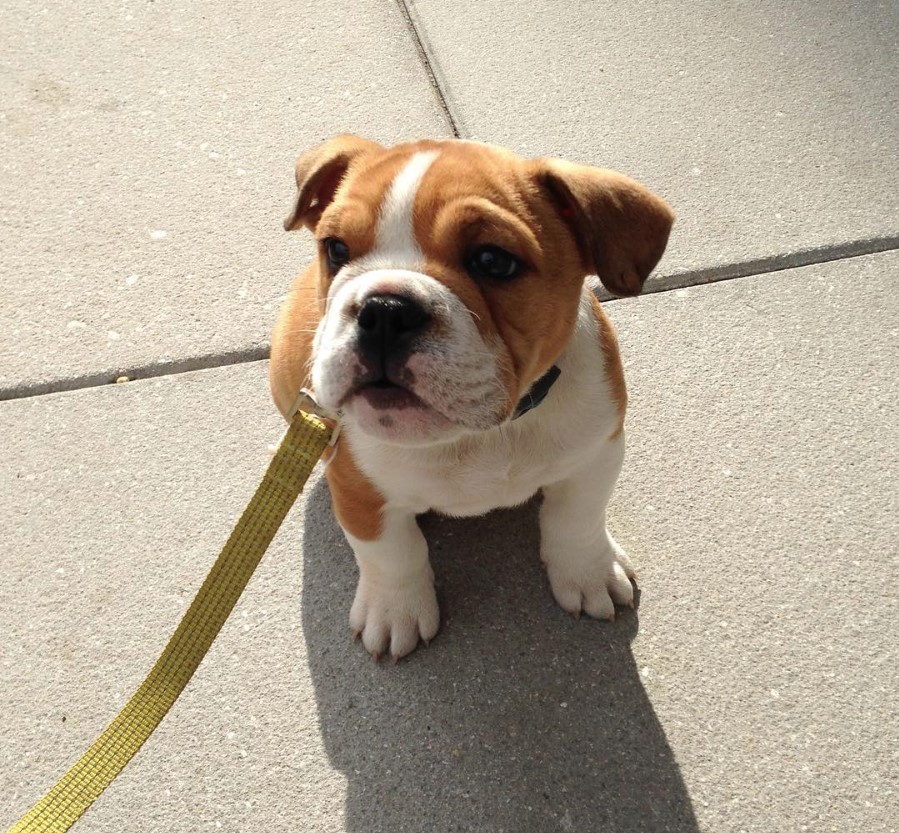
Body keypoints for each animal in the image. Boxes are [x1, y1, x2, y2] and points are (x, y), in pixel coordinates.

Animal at [270, 136, 672, 664]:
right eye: (336, 249)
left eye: (493, 262)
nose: (385, 310)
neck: (482, 432)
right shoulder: (359, 490)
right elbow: (391, 554)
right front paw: (395, 611)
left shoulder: (595, 455)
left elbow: (577, 519)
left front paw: (589, 573)